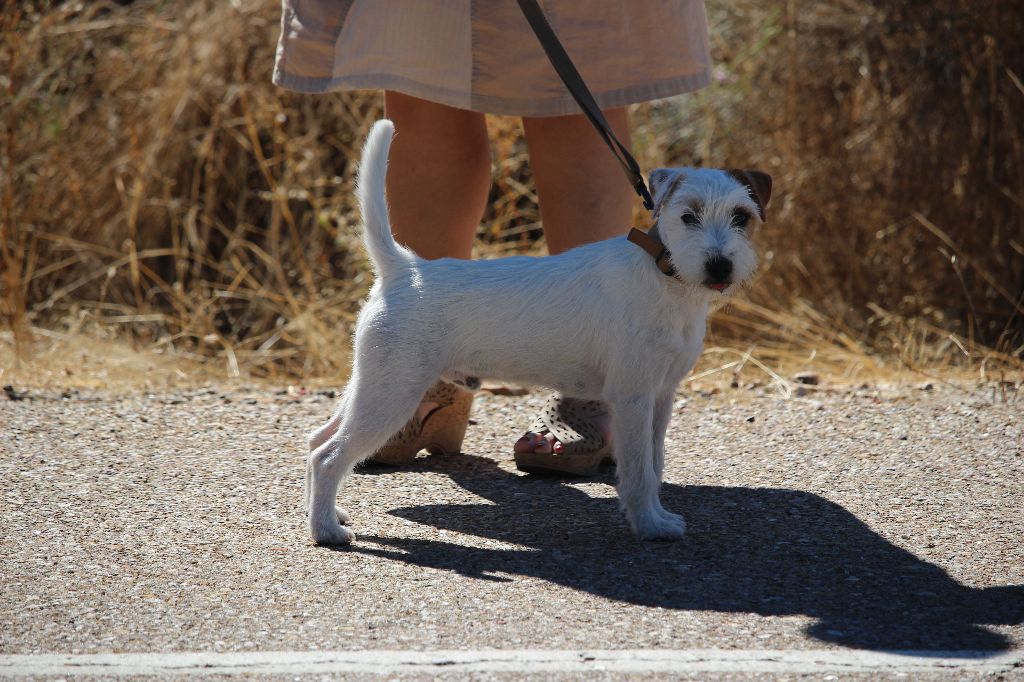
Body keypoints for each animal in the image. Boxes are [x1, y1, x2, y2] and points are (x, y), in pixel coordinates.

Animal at [303, 116, 770, 540]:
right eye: (688, 216)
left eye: (741, 216)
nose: (719, 266)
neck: (666, 277)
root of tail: (404, 268)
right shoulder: (633, 397)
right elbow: (638, 471)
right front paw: (650, 526)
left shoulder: (660, 396)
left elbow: (653, 466)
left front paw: (657, 517)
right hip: (392, 394)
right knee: (328, 455)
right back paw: (327, 531)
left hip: (371, 385)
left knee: (316, 442)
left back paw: (327, 513)